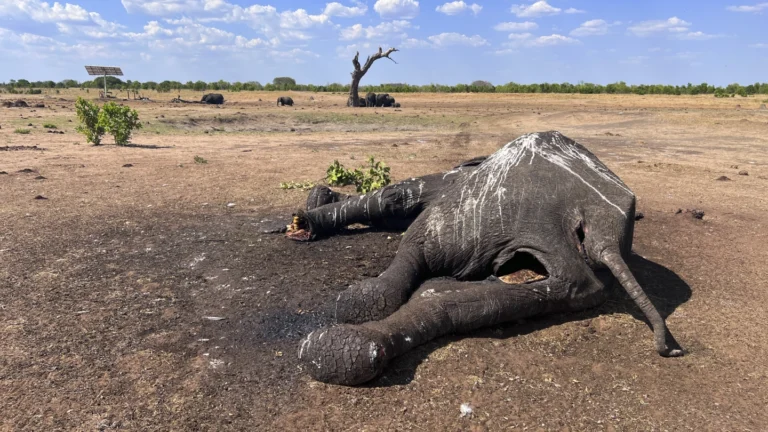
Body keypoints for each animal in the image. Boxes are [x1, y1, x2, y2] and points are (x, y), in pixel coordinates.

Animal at [294, 131, 684, 386]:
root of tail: (600, 224)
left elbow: (404, 216)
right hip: (544, 249)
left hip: (498, 212)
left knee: (408, 215)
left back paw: (343, 341)